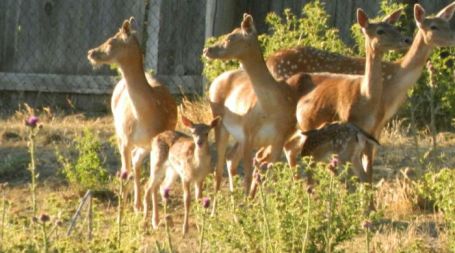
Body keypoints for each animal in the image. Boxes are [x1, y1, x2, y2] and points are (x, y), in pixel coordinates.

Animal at [87, 16, 178, 212]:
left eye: (111, 41)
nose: (91, 53)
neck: (145, 116)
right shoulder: (124, 138)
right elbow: (125, 170)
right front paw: (123, 206)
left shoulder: (155, 141)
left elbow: (152, 179)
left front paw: (149, 209)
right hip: (119, 131)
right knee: (130, 165)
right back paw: (133, 202)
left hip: (146, 145)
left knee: (136, 163)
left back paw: (138, 204)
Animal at [204, 13, 300, 196]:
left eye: (231, 37)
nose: (207, 50)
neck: (270, 109)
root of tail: (215, 81)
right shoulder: (248, 134)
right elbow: (248, 177)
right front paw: (248, 202)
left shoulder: (279, 139)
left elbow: (265, 175)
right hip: (219, 122)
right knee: (218, 169)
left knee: (230, 159)